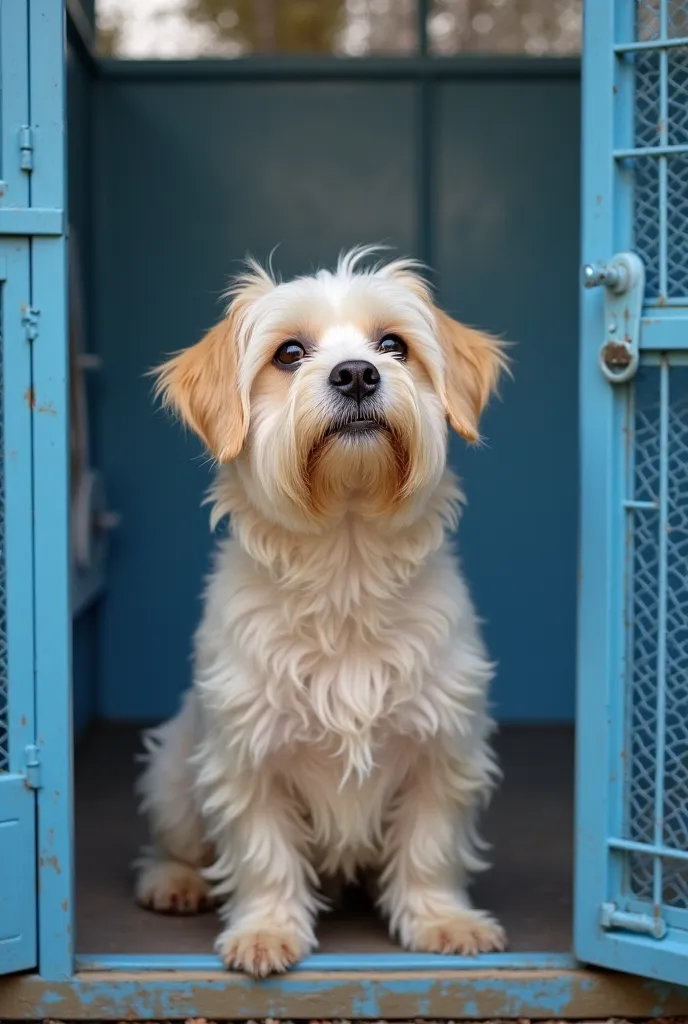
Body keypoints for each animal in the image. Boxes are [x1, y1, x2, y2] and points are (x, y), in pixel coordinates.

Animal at [136, 245, 509, 974]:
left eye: (393, 346)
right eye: (288, 354)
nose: (358, 373)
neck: (347, 557)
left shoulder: (442, 748)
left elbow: (429, 848)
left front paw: (441, 919)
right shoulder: (247, 757)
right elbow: (264, 856)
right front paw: (266, 930)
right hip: (173, 774)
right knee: (176, 847)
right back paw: (174, 882)